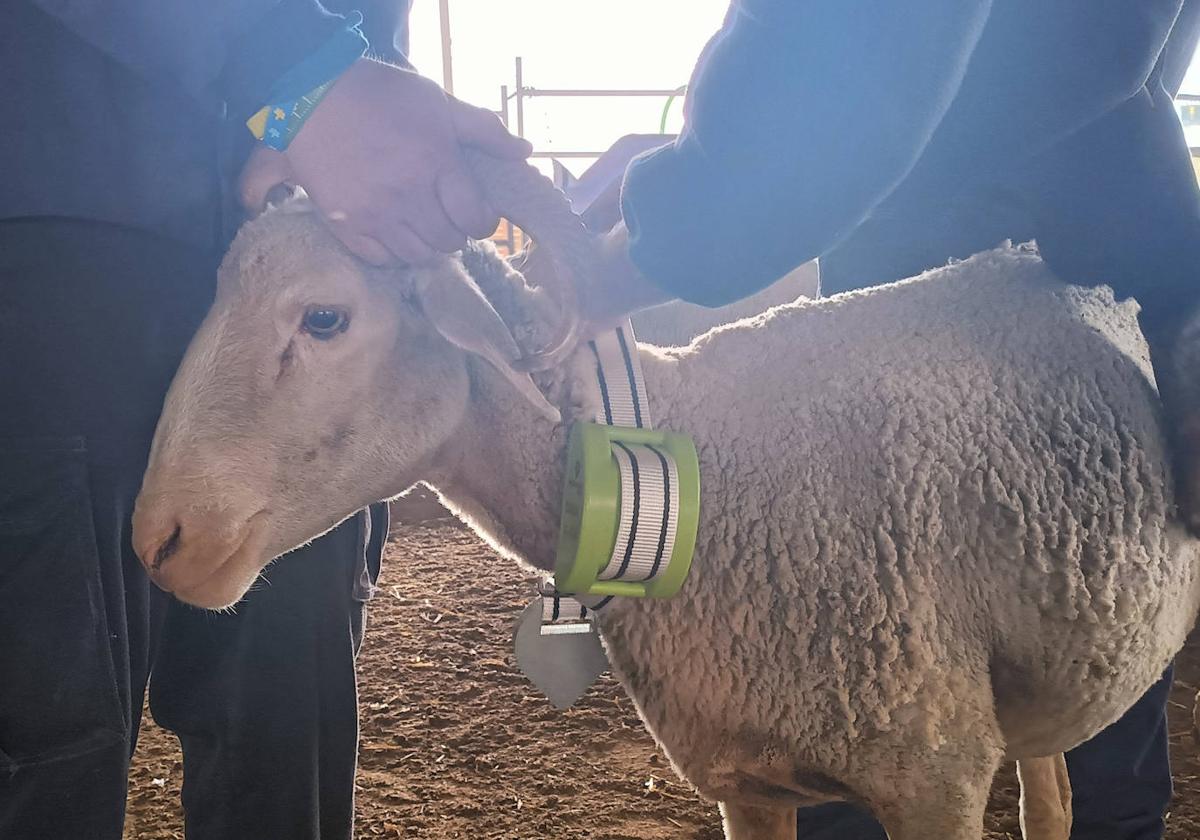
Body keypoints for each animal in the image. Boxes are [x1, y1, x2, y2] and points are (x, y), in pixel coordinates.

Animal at [131, 162, 1200, 840]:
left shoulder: (934, 775)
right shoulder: (748, 782)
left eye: (323, 317)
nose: (156, 540)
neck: (693, 472)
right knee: (1052, 795)